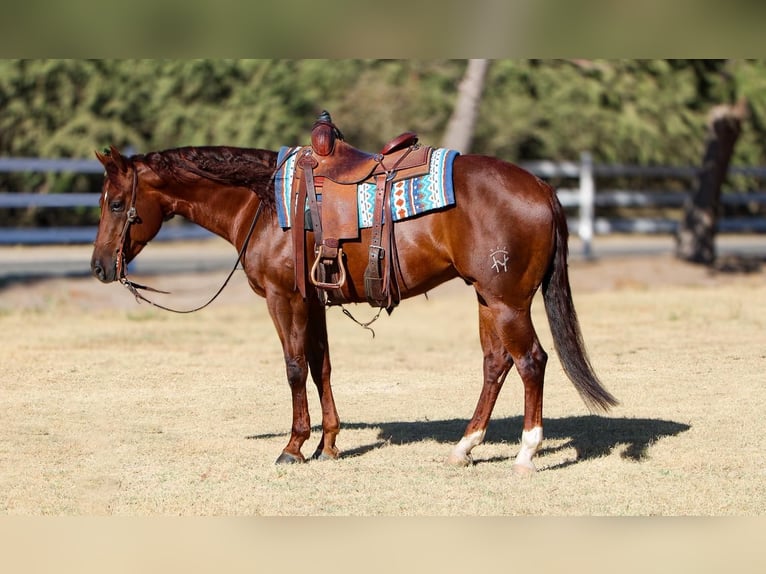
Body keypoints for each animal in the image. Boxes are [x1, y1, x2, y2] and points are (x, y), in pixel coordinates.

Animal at [91, 142, 616, 474]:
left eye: (116, 203)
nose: (98, 267)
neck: (262, 203)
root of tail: (542, 187)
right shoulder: (313, 302)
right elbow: (321, 366)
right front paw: (329, 443)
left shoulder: (285, 299)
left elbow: (294, 368)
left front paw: (294, 447)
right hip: (488, 299)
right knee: (496, 363)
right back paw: (465, 447)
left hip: (508, 302)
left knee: (531, 361)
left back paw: (526, 453)